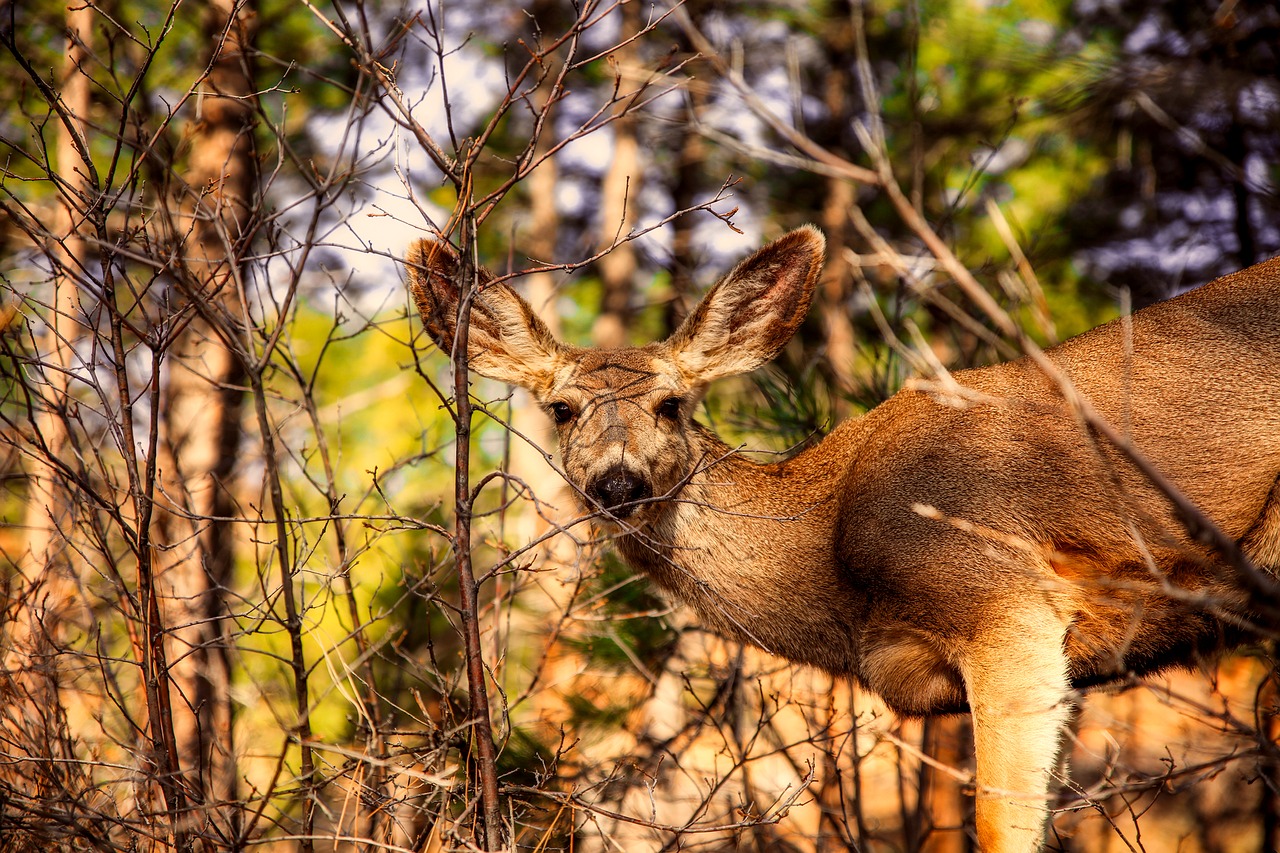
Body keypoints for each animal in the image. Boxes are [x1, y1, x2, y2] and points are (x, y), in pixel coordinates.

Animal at [407, 227, 1280, 850]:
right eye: (560, 409)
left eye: (671, 404)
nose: (617, 483)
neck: (833, 566)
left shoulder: (1004, 600)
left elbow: (1000, 825)